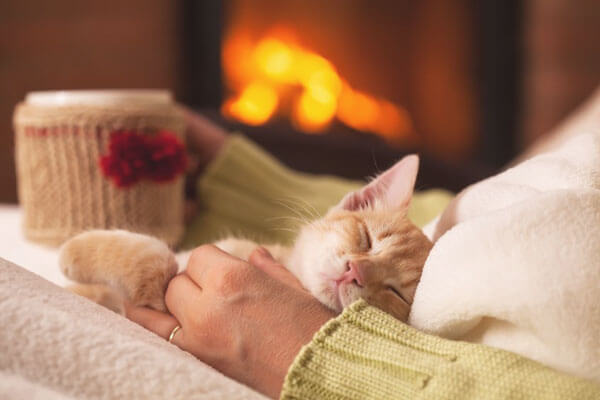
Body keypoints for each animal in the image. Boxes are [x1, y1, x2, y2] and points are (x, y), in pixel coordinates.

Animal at [59, 155, 432, 320]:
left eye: (396, 294)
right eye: (366, 238)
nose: (356, 271)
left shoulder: (162, 294)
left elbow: (156, 261)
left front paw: (73, 252)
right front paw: (81, 288)